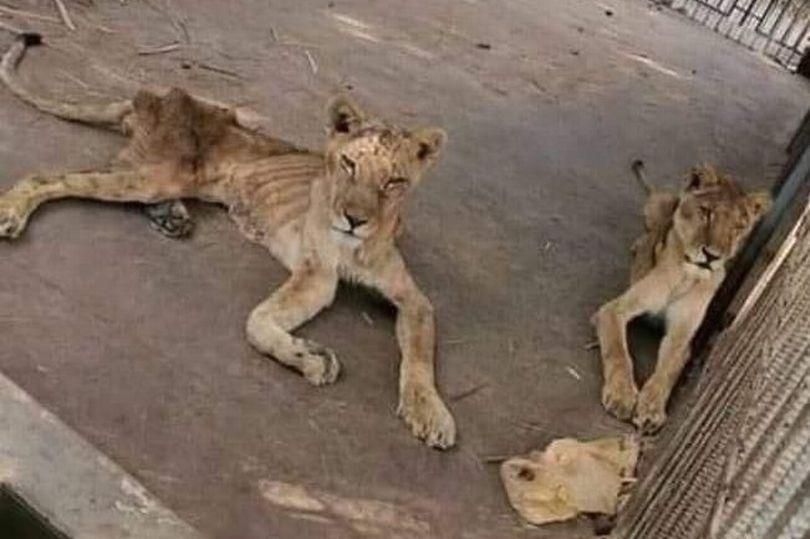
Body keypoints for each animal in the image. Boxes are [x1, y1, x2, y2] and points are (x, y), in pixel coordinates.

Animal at [0, 34, 455, 449]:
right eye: (348, 164)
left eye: (394, 182)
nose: (355, 220)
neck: (356, 245)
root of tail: (152, 97)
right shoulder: (317, 276)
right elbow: (258, 322)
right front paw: (312, 359)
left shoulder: (413, 299)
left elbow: (419, 356)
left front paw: (430, 413)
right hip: (164, 170)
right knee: (51, 178)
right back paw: (13, 211)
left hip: (181, 168)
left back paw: (172, 217)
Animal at [593, 160, 771, 433]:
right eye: (707, 212)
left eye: (739, 227)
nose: (712, 256)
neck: (687, 274)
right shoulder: (613, 310)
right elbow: (619, 351)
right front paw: (622, 396)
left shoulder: (682, 336)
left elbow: (667, 371)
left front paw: (651, 408)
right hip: (658, 206)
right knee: (650, 229)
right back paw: (639, 246)